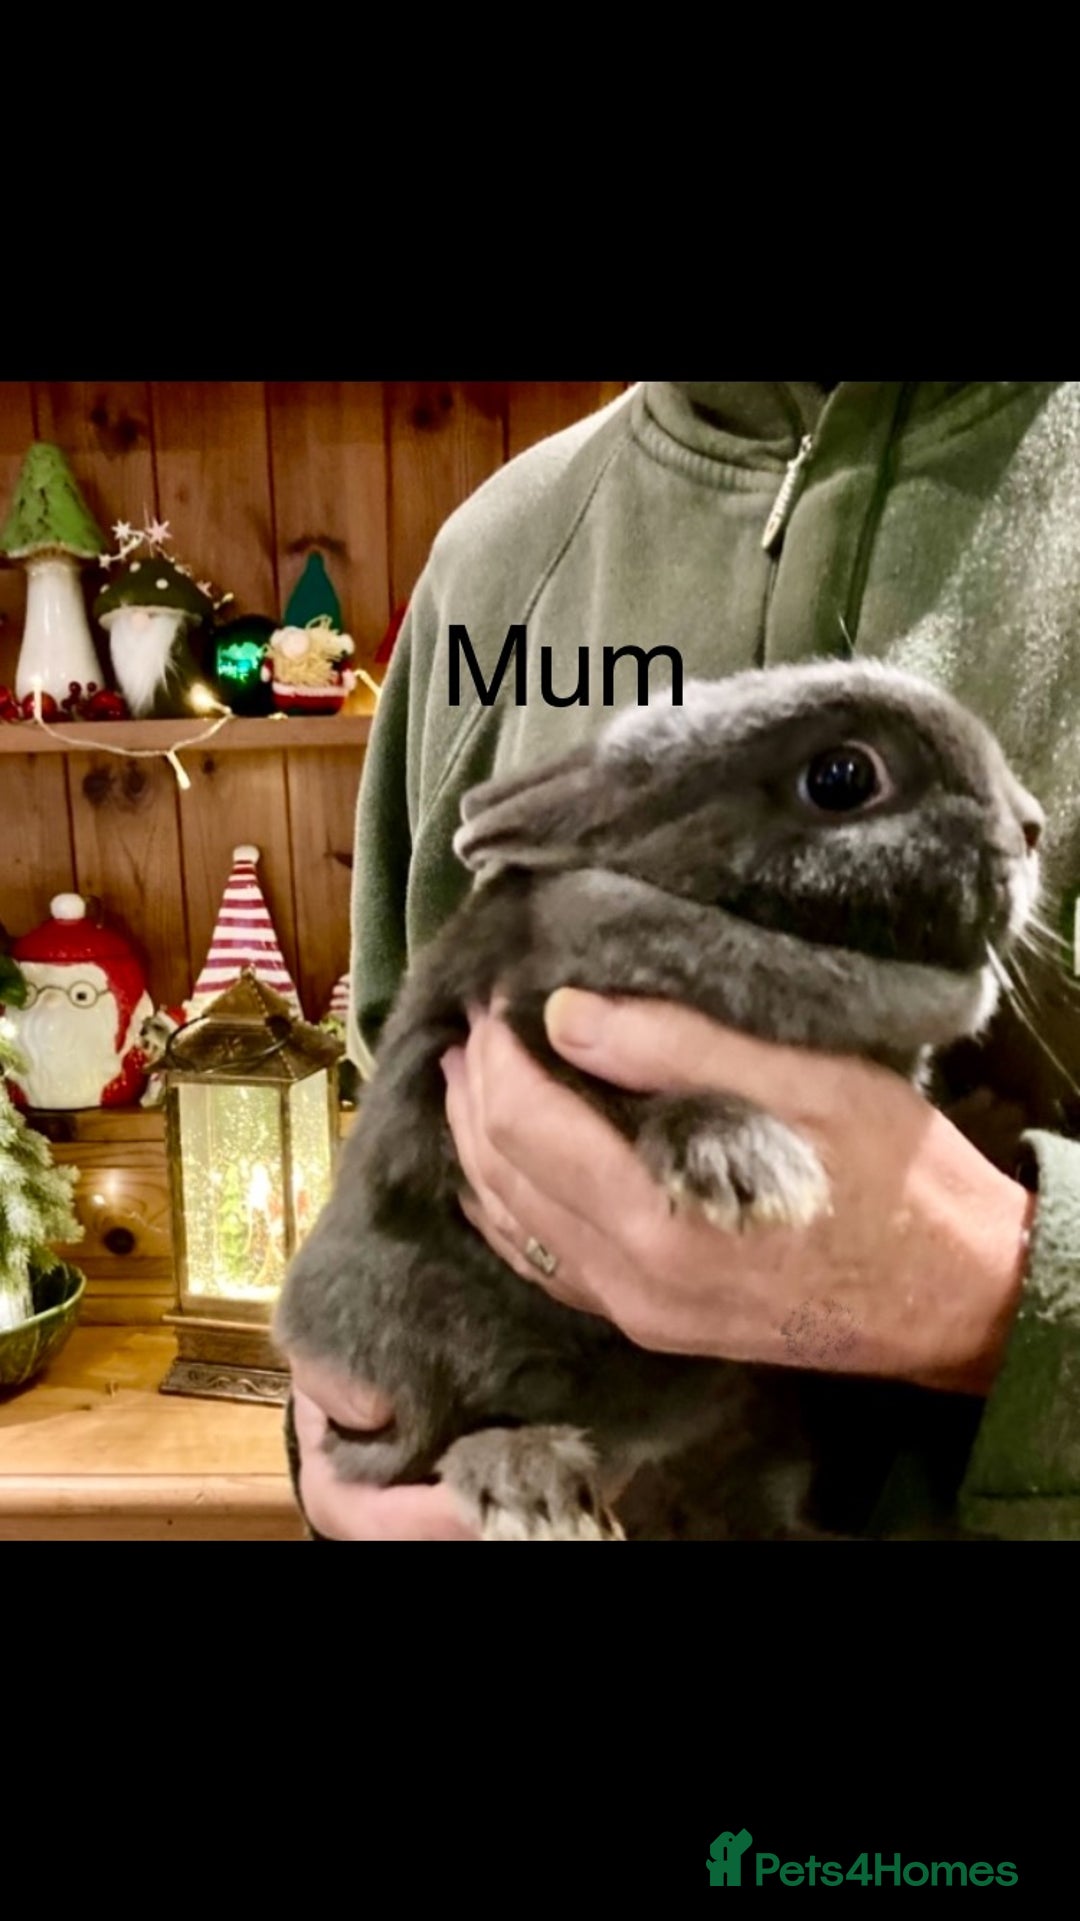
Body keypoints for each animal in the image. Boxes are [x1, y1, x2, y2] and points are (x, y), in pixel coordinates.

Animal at [274, 658, 1045, 1541]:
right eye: (843, 777)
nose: (1031, 826)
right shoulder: (531, 1032)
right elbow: (638, 1100)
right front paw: (753, 1168)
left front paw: (996, 1122)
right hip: (421, 1335)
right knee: (437, 1444)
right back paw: (533, 1484)